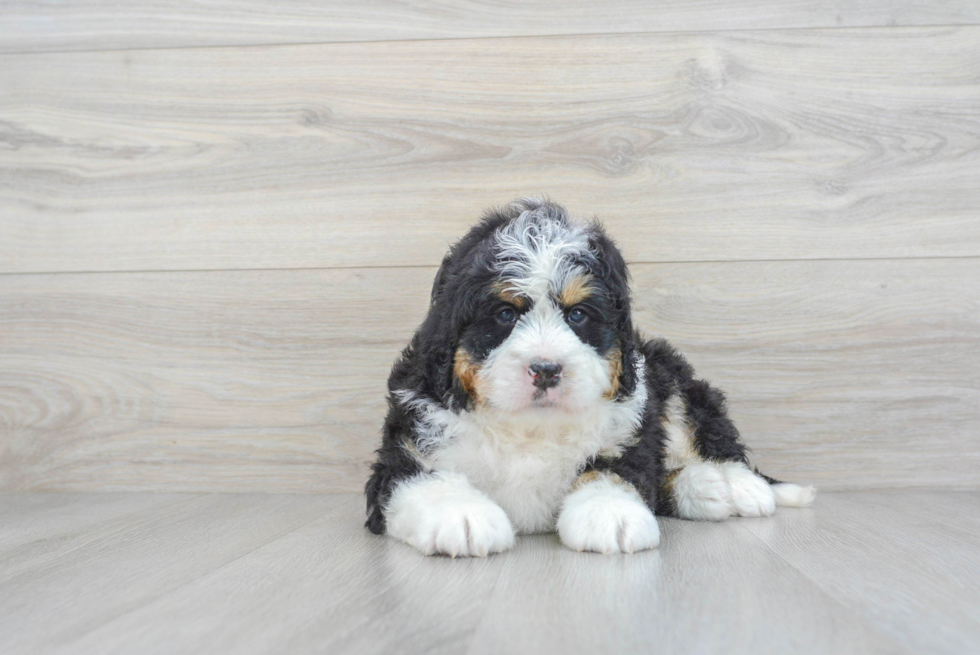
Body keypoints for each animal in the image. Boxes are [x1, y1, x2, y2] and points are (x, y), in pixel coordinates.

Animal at [364, 197, 816, 556]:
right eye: (505, 314)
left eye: (578, 314)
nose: (546, 369)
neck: (530, 428)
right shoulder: (403, 452)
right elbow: (424, 479)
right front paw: (462, 516)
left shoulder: (629, 432)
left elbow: (612, 472)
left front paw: (609, 514)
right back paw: (710, 488)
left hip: (668, 375)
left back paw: (736, 485)